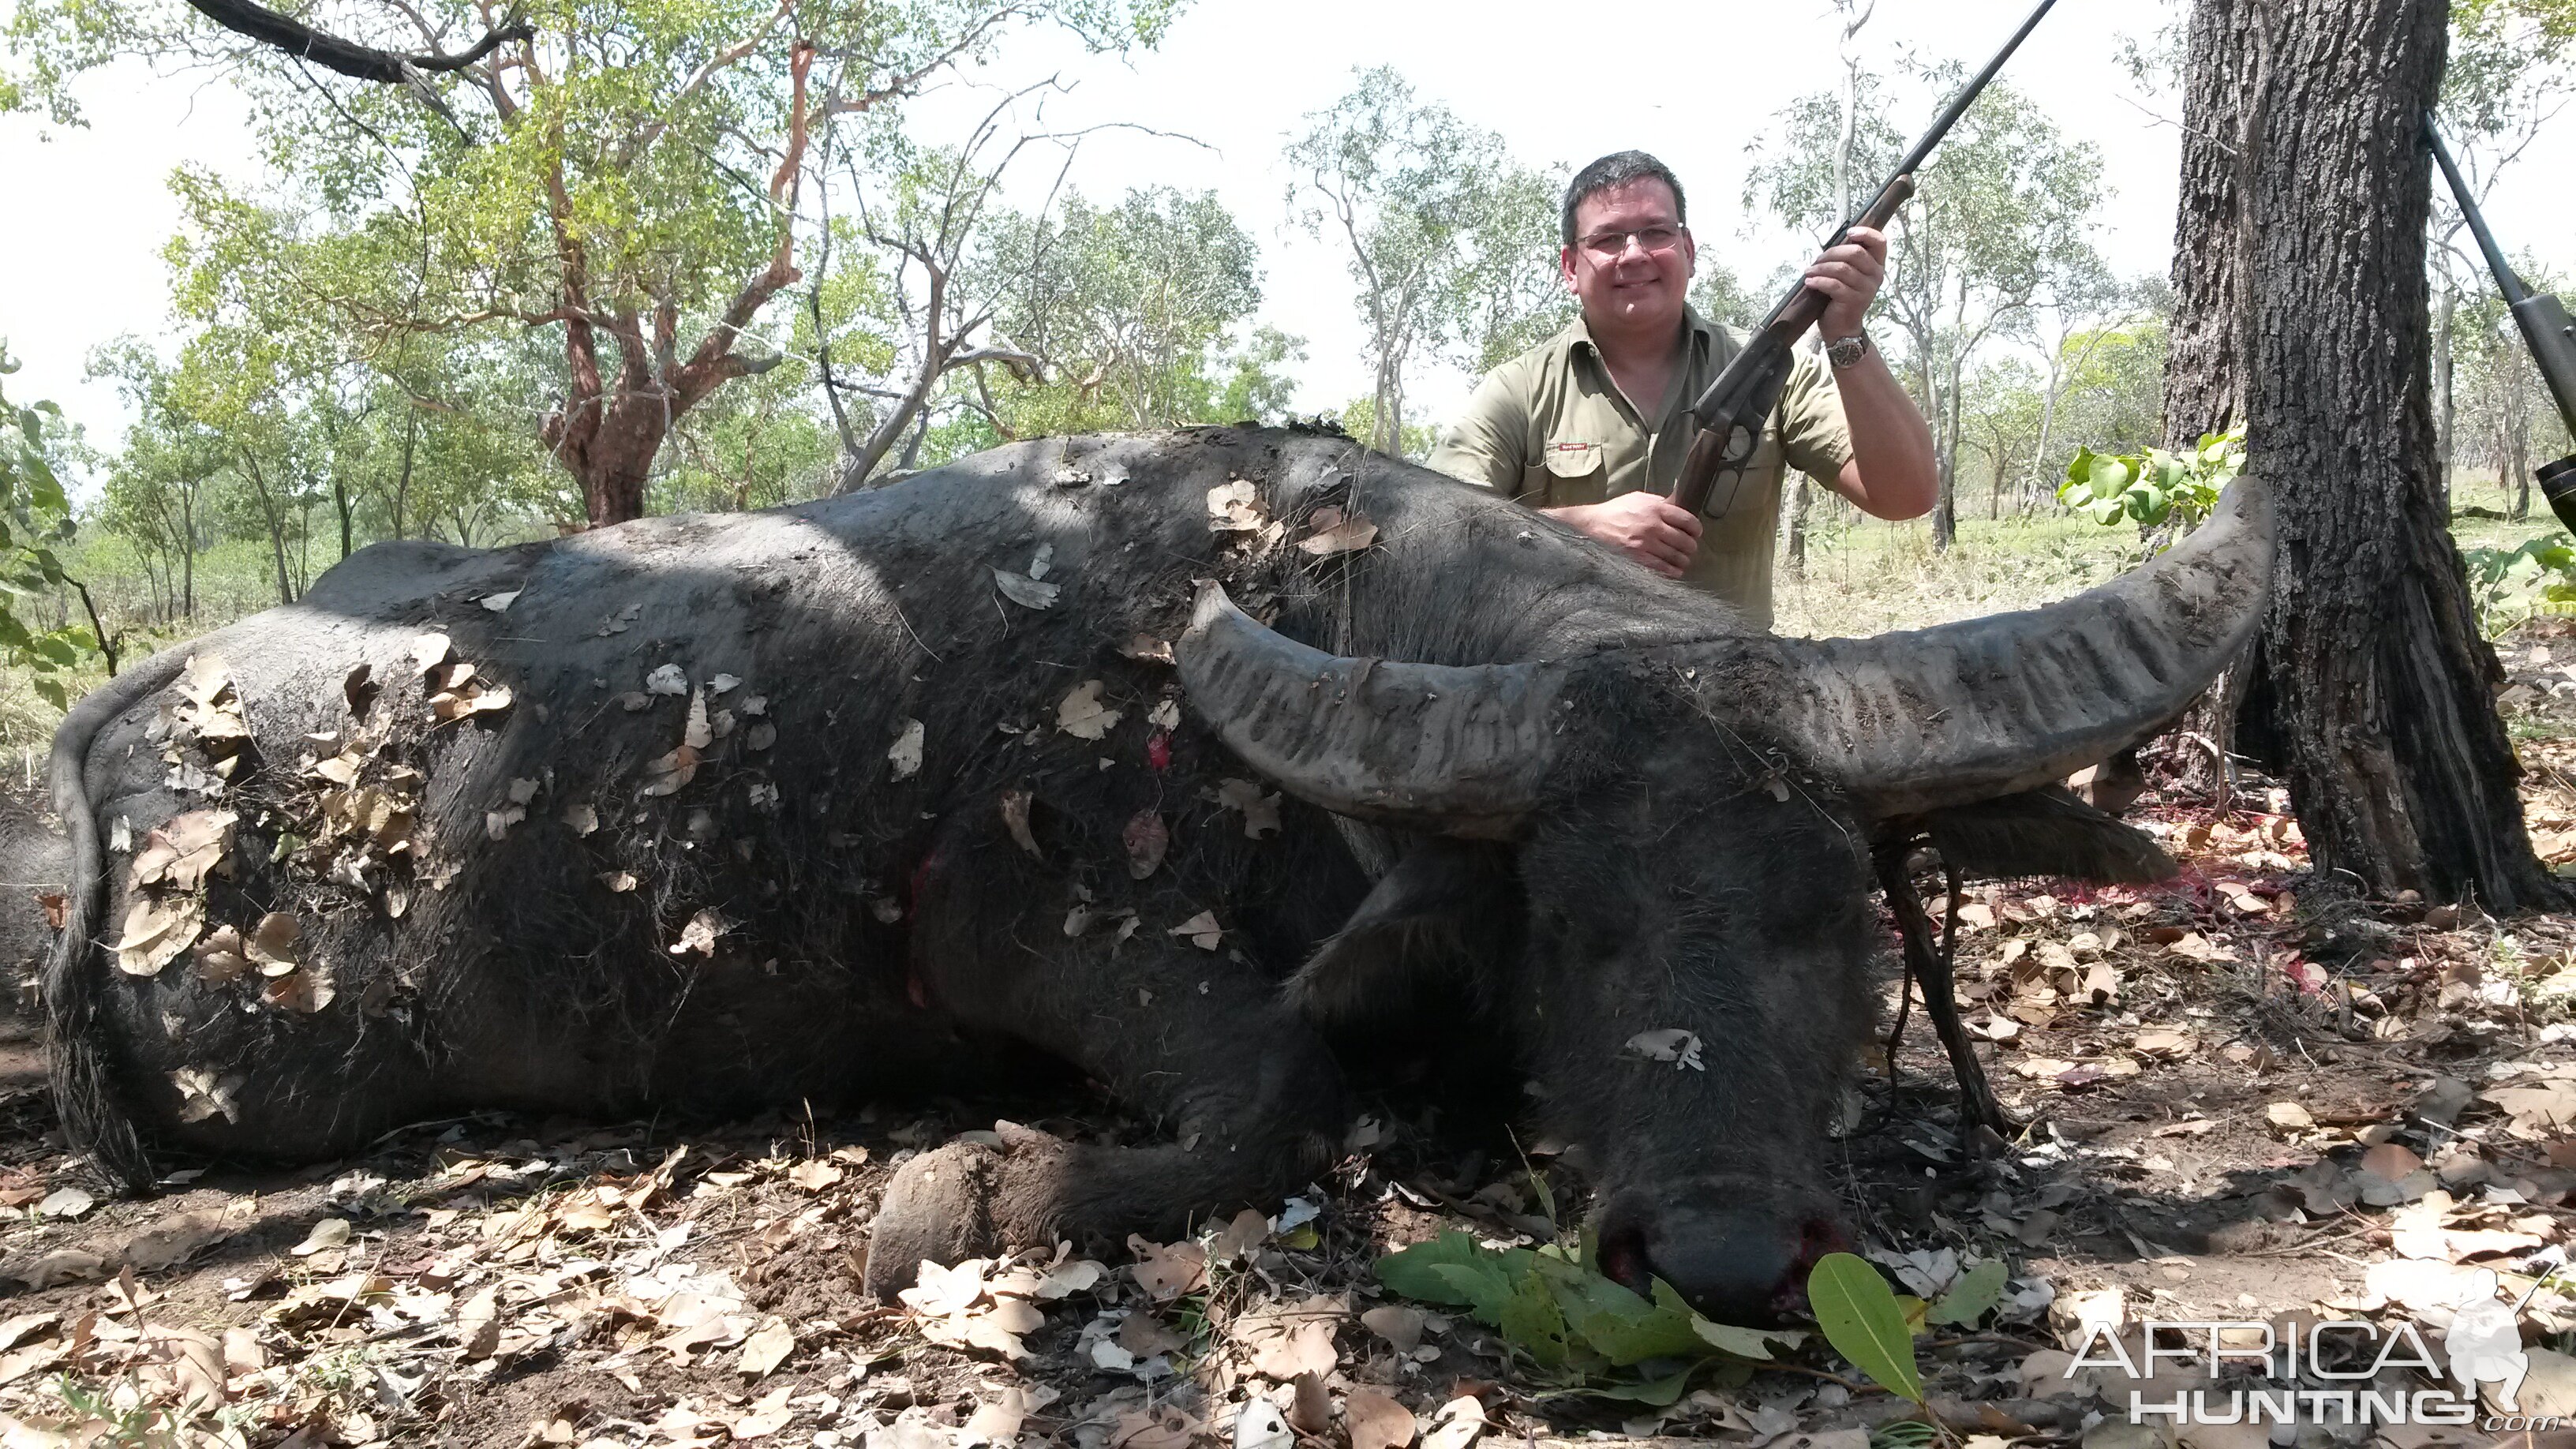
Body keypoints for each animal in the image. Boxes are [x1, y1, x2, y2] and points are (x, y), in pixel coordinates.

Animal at [30, 422, 2267, 1315]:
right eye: (1567, 928)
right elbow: (1275, 1092)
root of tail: (148, 714)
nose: (1717, 1252)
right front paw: (971, 1191)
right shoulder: (1043, 940)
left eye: (1841, 919)